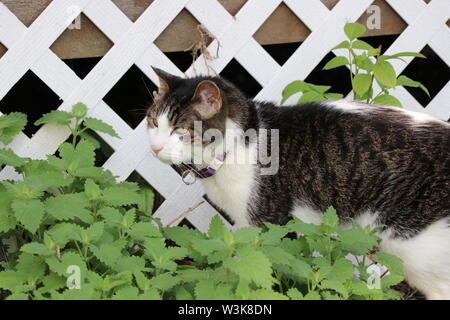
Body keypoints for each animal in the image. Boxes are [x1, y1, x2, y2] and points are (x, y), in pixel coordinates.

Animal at [146, 67, 448, 300]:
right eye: (152, 122)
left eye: (179, 130)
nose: (154, 147)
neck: (243, 142)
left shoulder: (262, 223)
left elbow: (252, 264)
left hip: (412, 245)